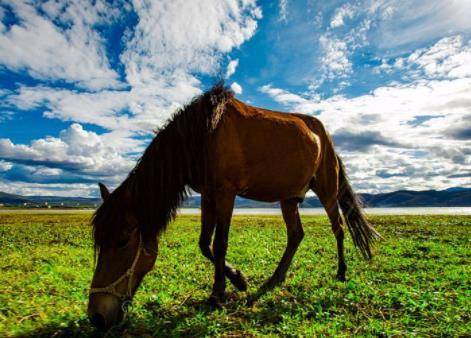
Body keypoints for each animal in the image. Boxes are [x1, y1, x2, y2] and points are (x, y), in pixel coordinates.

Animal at [88, 82, 382, 330]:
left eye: (123, 240)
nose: (97, 317)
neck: (202, 136)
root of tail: (324, 136)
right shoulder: (208, 195)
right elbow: (205, 244)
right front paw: (238, 280)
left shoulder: (226, 193)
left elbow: (219, 244)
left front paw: (218, 294)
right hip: (288, 198)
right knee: (296, 235)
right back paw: (274, 280)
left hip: (327, 190)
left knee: (338, 228)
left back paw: (341, 272)